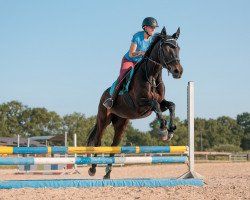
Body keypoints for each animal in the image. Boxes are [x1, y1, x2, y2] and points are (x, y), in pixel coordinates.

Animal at [87, 26, 183, 178]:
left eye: (178, 48)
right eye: (166, 48)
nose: (178, 71)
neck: (152, 76)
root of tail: (104, 94)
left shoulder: (161, 103)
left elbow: (171, 105)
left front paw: (171, 129)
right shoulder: (140, 105)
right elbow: (155, 105)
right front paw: (163, 130)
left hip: (121, 123)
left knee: (114, 145)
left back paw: (107, 174)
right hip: (103, 118)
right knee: (98, 141)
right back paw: (93, 169)